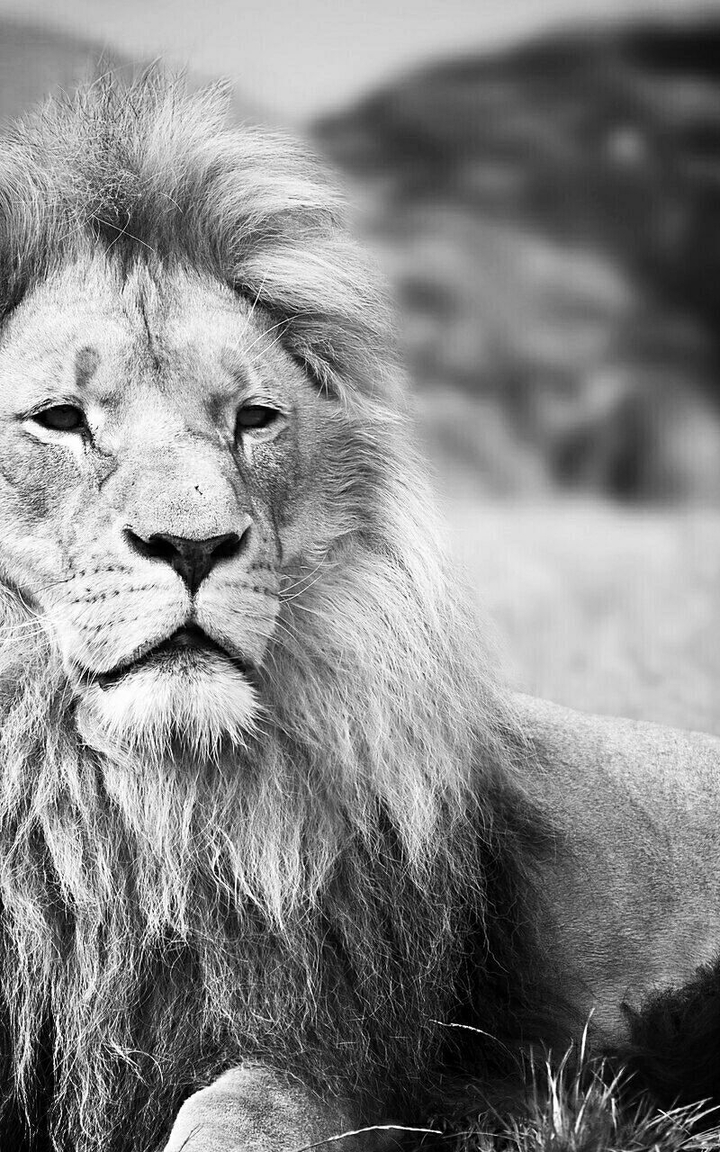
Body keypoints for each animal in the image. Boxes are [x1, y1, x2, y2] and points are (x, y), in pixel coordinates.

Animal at [0, 74, 717, 1152]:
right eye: (59, 420)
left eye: (253, 419)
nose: (196, 546)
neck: (126, 810)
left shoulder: (337, 1056)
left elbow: (237, 1110)